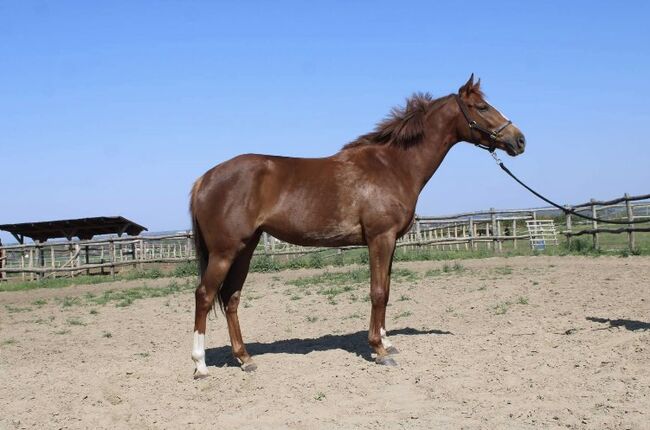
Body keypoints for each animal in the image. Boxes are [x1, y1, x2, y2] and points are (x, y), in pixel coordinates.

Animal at [186, 74, 520, 376]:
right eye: (482, 106)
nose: (519, 140)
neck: (393, 166)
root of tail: (204, 178)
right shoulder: (380, 238)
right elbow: (378, 292)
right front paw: (379, 350)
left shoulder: (390, 241)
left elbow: (387, 288)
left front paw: (387, 342)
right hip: (225, 251)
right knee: (204, 296)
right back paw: (200, 365)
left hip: (246, 248)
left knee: (231, 298)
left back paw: (245, 359)